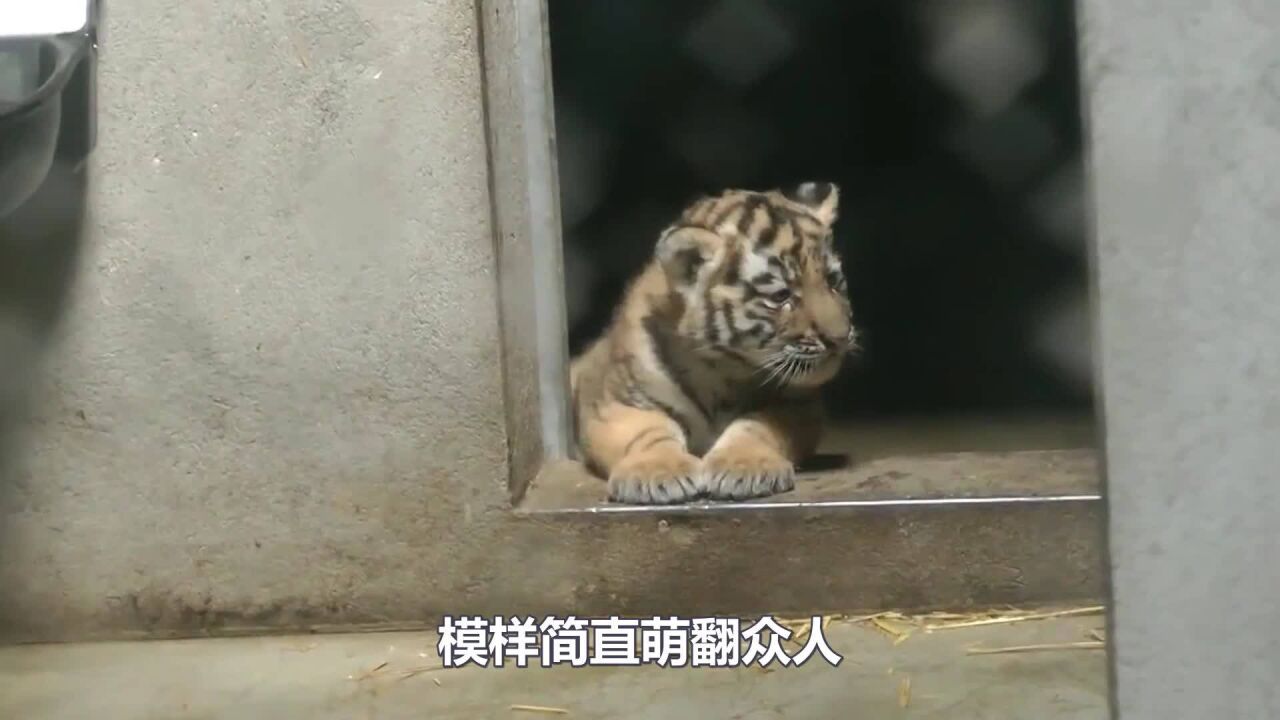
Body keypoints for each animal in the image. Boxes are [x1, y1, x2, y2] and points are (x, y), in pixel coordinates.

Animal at [569, 181, 858, 504]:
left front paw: (744, 467)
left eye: (832, 281)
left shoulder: (798, 404)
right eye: (781, 296)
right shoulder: (615, 404)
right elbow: (647, 433)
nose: (839, 338)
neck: (722, 369)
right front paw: (658, 471)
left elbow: (755, 426)